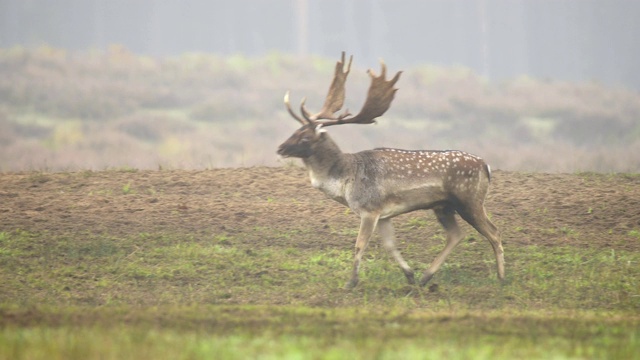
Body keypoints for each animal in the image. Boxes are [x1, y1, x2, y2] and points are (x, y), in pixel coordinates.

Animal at [278, 52, 502, 288]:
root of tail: (486, 166)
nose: (280, 148)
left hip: (470, 200)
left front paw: (351, 282)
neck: (346, 180)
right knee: (456, 235)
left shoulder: (369, 209)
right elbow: (390, 245)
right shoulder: (383, 214)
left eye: (305, 136)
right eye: (295, 130)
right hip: (443, 206)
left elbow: (360, 244)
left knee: (494, 232)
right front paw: (409, 275)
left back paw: (501, 277)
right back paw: (425, 277)